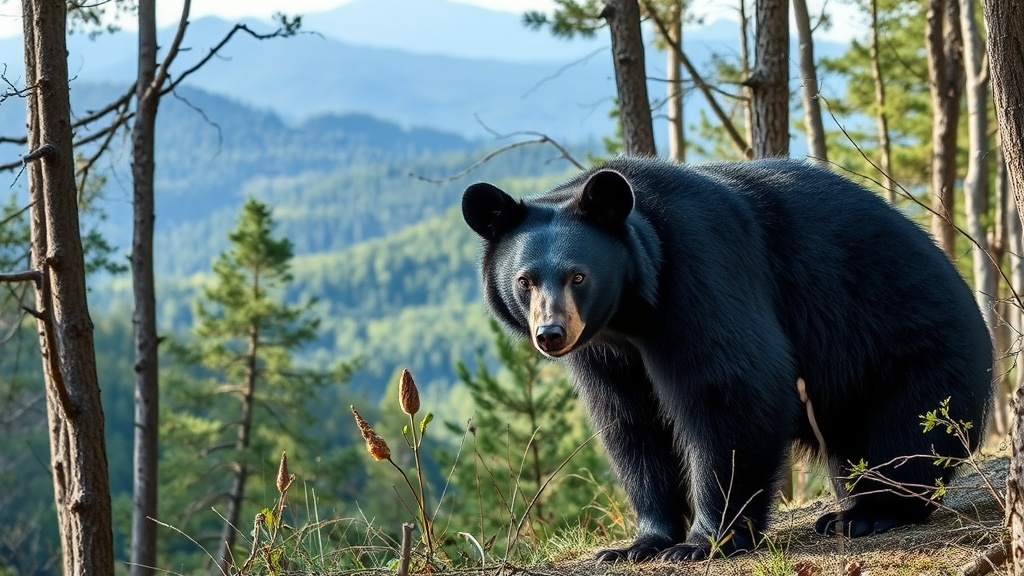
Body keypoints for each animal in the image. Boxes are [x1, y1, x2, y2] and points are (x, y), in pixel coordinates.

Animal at [461, 155, 993, 562]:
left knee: (908, 432)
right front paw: (637, 544)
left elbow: (732, 389)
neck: (630, 313)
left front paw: (703, 542)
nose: (551, 334)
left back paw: (867, 513)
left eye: (578, 276)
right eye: (525, 280)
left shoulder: (701, 272)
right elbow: (631, 423)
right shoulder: (605, 353)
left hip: (910, 344)